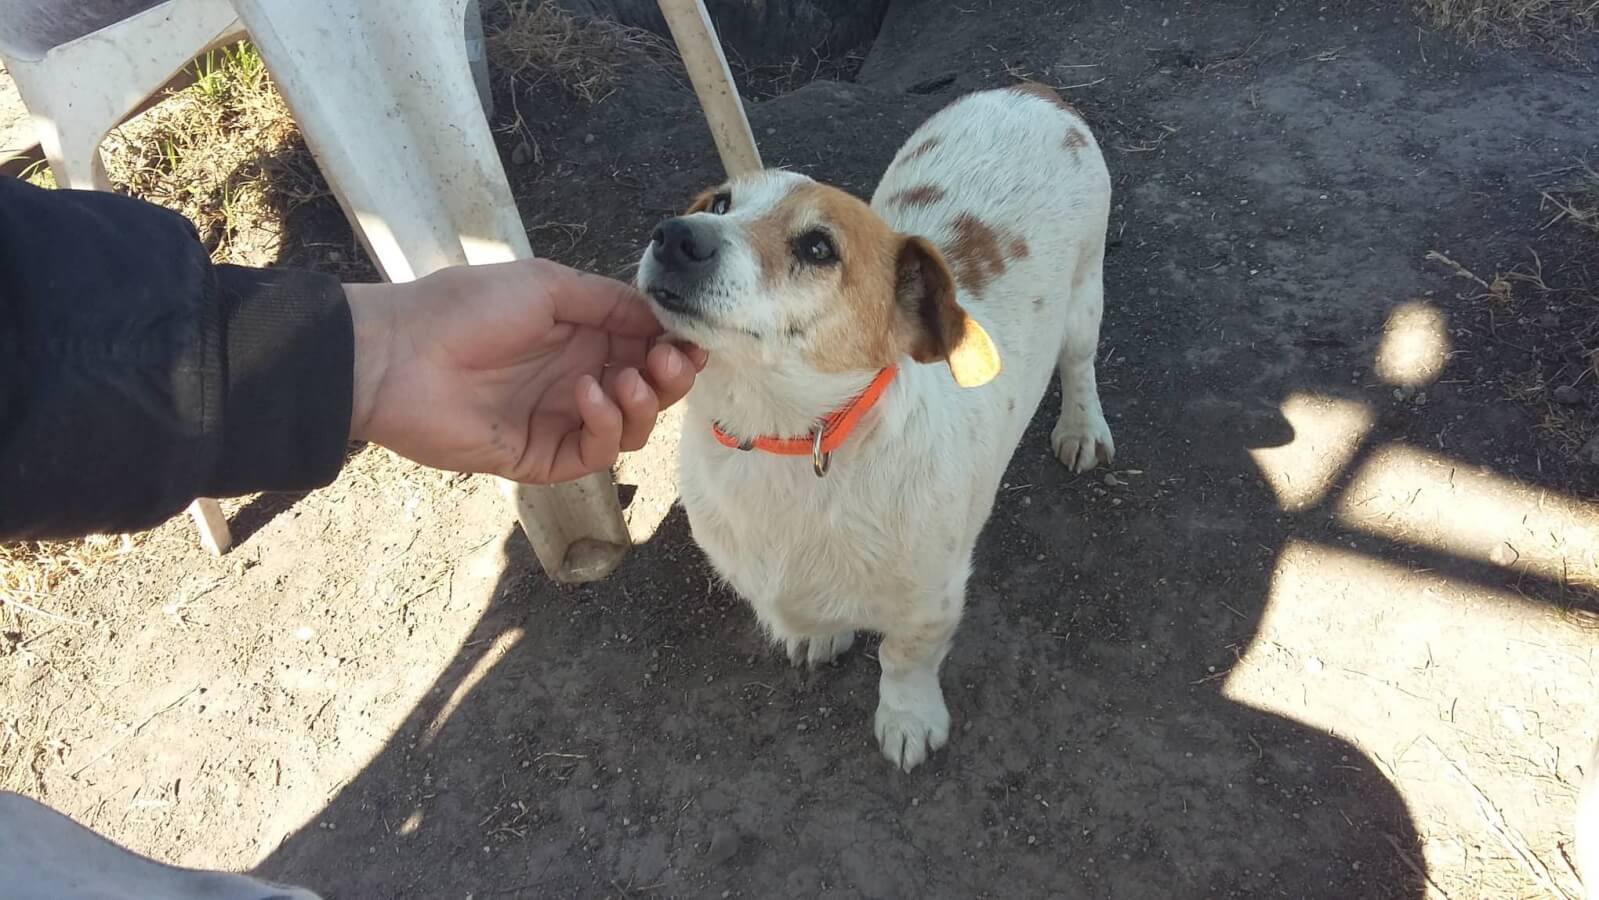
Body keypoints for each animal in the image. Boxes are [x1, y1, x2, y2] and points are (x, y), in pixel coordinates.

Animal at [637, 83, 1114, 770]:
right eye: (721, 203)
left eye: (817, 247)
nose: (674, 236)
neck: (779, 440)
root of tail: (1029, 90)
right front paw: (822, 635)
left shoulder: (932, 600)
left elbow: (903, 661)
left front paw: (908, 719)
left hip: (1084, 299)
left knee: (1079, 365)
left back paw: (1081, 426)